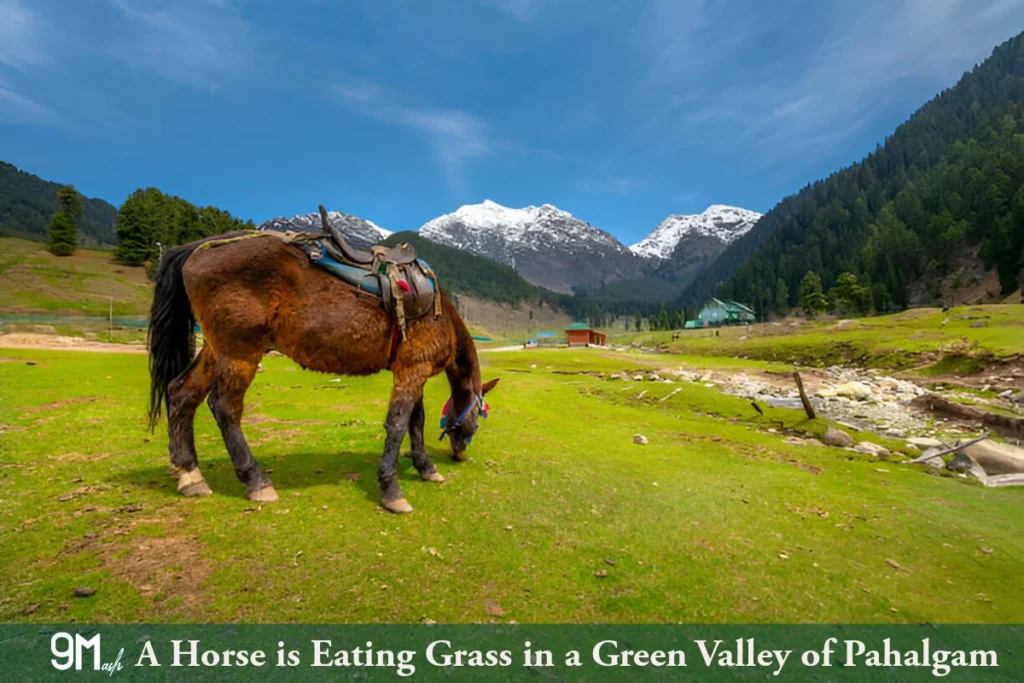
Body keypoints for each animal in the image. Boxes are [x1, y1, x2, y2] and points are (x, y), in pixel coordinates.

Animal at [146, 231, 498, 514]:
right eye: (480, 416)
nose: (460, 453)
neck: (440, 314)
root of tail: (198, 248)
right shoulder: (413, 370)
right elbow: (398, 424)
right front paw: (392, 490)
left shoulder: (413, 370)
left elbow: (416, 421)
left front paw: (426, 468)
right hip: (240, 352)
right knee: (224, 407)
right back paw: (256, 481)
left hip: (214, 349)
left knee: (182, 394)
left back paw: (190, 475)